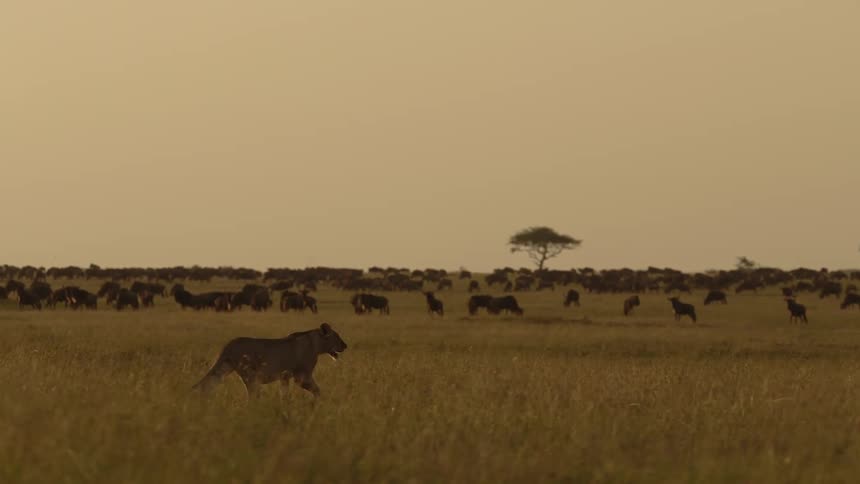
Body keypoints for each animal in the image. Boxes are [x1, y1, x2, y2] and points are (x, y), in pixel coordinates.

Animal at [192, 322, 347, 398]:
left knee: (208, 384)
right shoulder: (302, 376)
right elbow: (317, 391)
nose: (345, 345)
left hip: (225, 369)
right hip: (250, 375)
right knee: (253, 395)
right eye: (337, 336)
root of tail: (228, 345)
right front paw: (318, 404)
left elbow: (284, 394)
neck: (316, 343)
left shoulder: (285, 376)